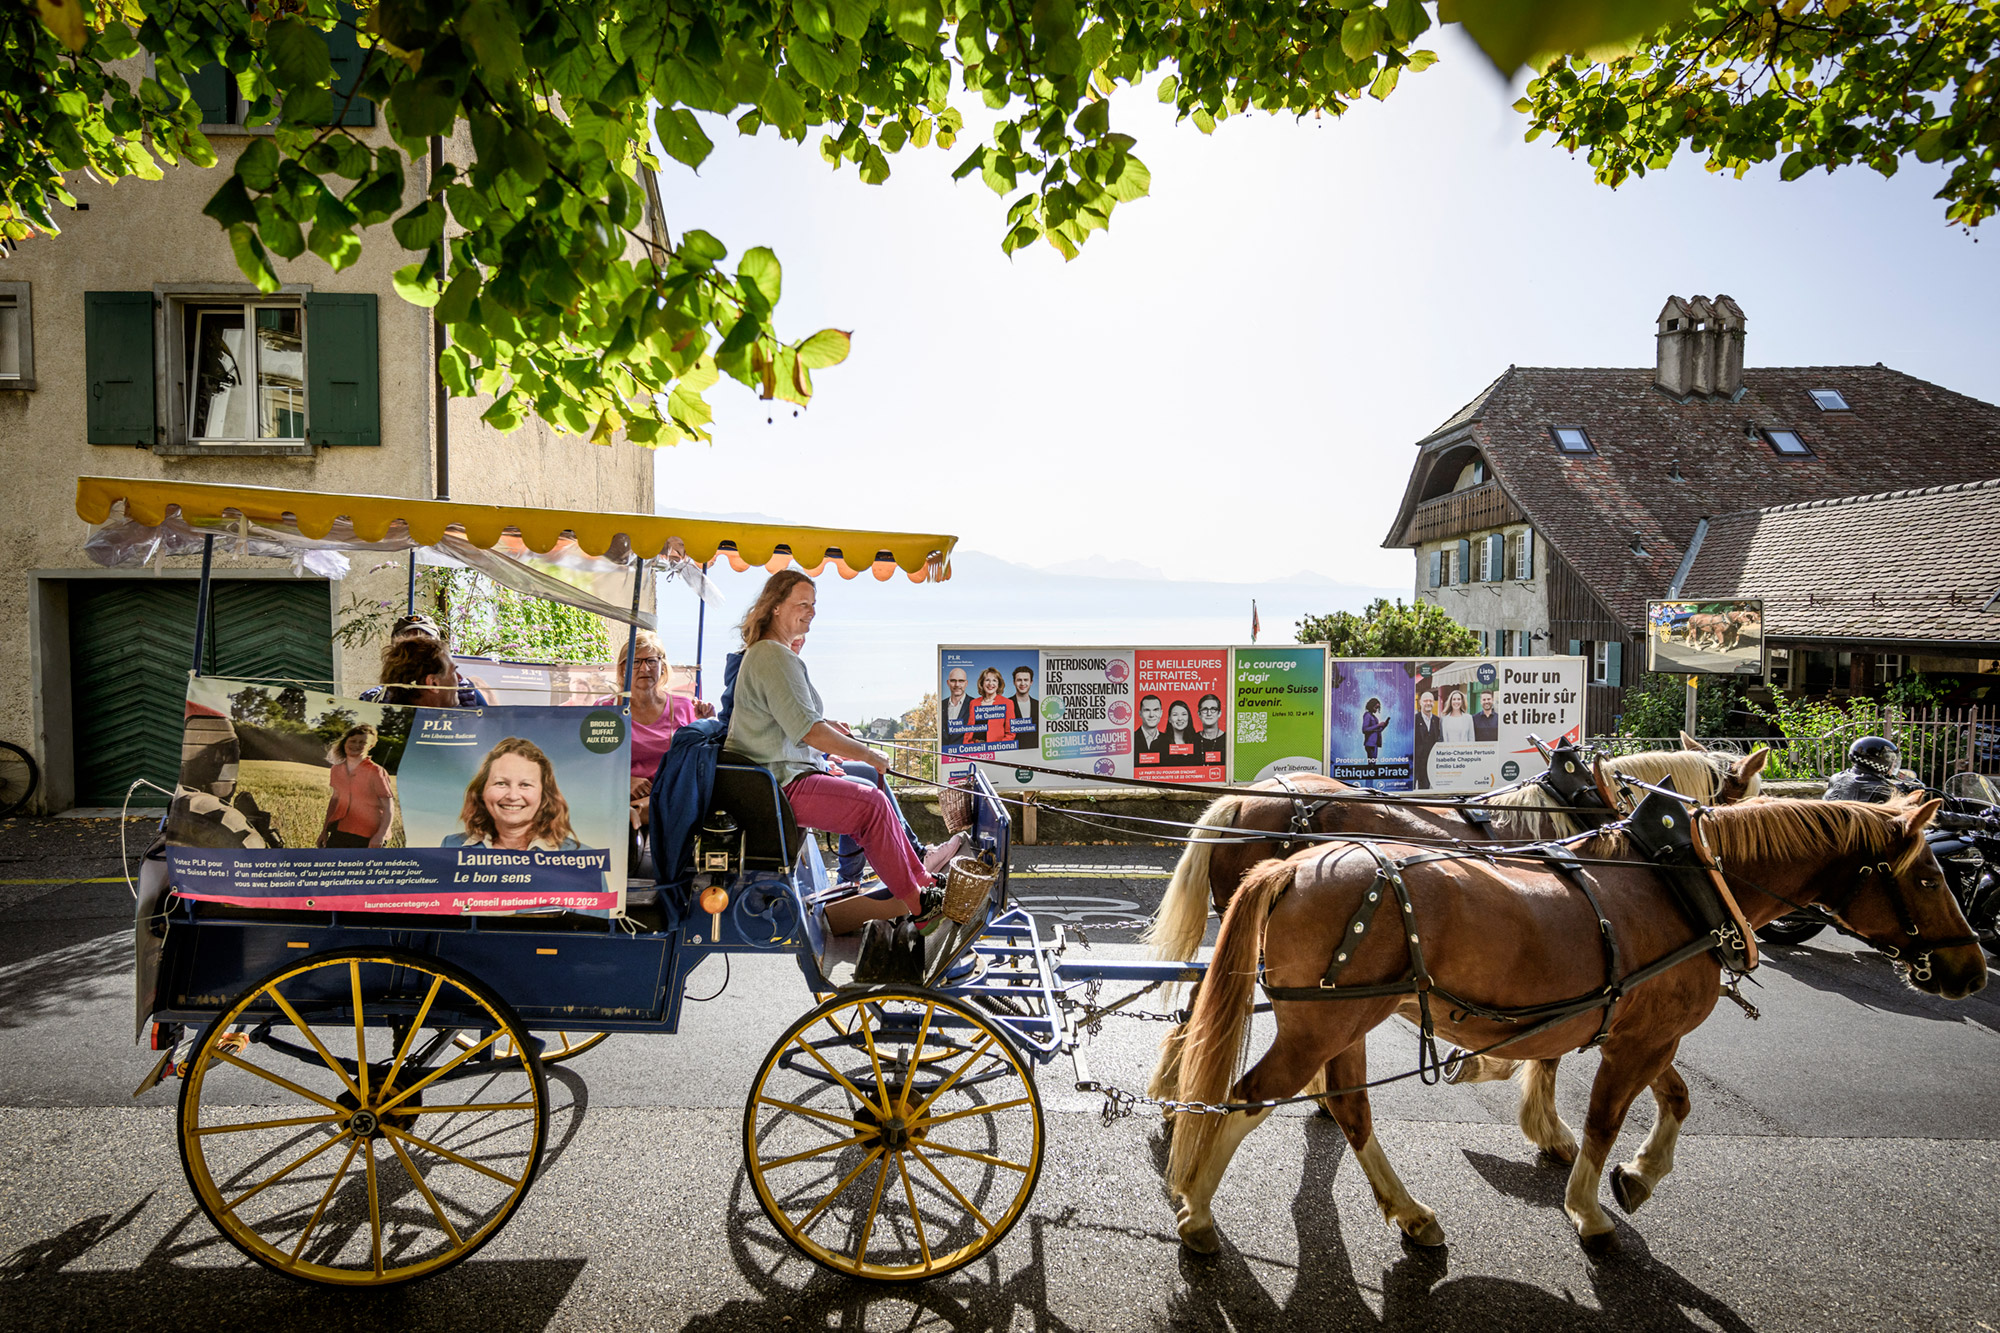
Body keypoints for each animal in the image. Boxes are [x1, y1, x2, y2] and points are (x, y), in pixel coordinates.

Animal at [1168, 800, 1976, 1256]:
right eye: (1930, 876)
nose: (1971, 969)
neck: (1684, 887)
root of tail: (1296, 865)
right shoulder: (1641, 1039)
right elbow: (1604, 1119)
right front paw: (1590, 1208)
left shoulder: (1644, 1028)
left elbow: (1677, 1098)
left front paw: (1638, 1176)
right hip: (1322, 1022)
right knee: (1246, 1097)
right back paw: (1197, 1213)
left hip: (1346, 1020)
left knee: (1349, 1109)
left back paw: (1411, 1214)